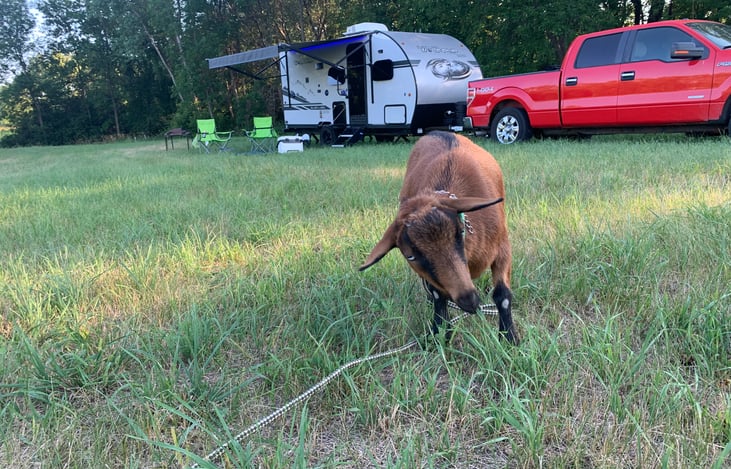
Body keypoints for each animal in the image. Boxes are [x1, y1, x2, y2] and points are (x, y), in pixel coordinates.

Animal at [359, 131, 519, 345]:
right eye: (410, 256)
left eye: (460, 232)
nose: (470, 301)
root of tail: (439, 132)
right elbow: (438, 297)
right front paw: (439, 333)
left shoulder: (503, 248)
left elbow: (502, 295)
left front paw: (509, 338)